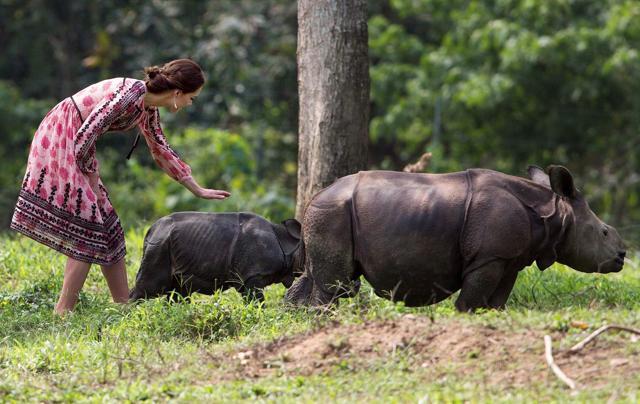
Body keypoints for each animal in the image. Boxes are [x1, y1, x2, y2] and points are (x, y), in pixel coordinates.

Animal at [129, 212, 303, 301]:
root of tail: (151, 229)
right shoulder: (252, 276)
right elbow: (256, 301)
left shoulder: (245, 278)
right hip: (159, 245)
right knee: (148, 288)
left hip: (167, 243)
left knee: (178, 292)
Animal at [285, 166, 626, 311]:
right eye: (604, 232)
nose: (622, 256)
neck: (552, 211)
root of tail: (314, 198)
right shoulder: (488, 257)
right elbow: (474, 296)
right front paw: (465, 314)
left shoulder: (508, 258)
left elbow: (498, 298)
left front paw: (492, 315)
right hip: (332, 213)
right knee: (335, 284)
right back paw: (323, 318)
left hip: (328, 214)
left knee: (316, 275)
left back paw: (300, 316)